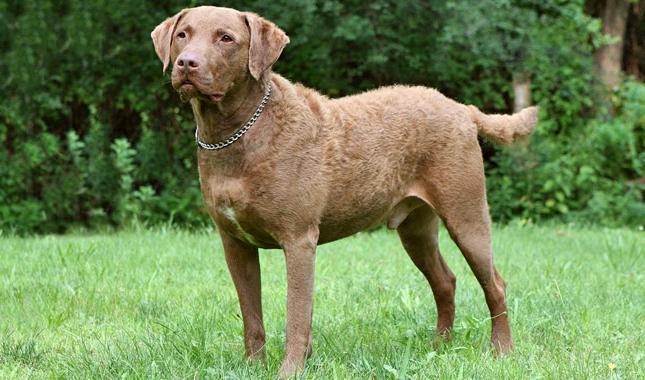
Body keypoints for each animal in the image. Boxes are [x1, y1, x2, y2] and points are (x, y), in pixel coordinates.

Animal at [152, 5, 540, 378]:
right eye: (183, 34)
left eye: (226, 38)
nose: (187, 63)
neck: (241, 132)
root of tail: (462, 108)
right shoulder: (235, 243)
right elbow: (252, 318)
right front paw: (252, 368)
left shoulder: (299, 240)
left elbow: (297, 316)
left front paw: (290, 371)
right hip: (416, 228)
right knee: (445, 281)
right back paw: (439, 348)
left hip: (466, 213)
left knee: (495, 284)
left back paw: (501, 351)